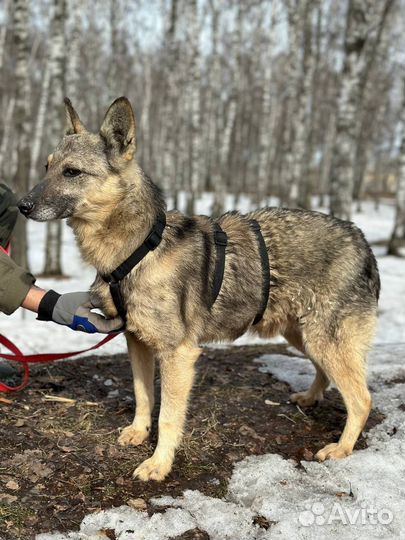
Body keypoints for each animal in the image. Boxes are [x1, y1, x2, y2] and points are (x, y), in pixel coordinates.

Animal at [18, 97, 378, 480]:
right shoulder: (137, 341)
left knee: (361, 399)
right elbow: (143, 395)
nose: (21, 206)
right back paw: (311, 398)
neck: (139, 249)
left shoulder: (178, 354)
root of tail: (363, 241)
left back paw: (341, 448)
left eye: (72, 172)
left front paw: (159, 463)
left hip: (324, 341)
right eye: (46, 167)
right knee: (328, 375)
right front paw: (138, 432)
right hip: (304, 337)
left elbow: (168, 416)